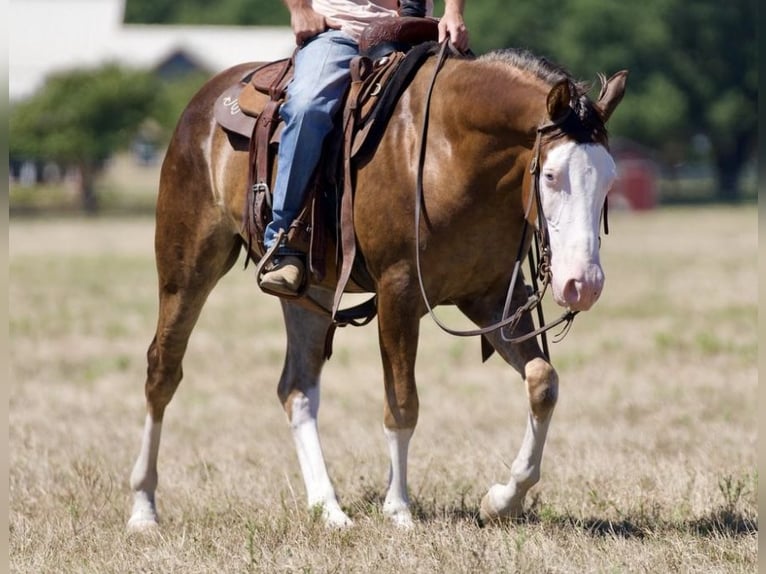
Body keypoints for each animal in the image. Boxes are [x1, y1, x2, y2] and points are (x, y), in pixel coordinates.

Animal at [127, 42, 632, 532]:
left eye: (610, 178)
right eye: (551, 175)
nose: (583, 285)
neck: (450, 152)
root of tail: (204, 101)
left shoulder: (488, 296)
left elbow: (543, 382)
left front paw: (501, 501)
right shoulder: (399, 294)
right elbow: (402, 404)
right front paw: (399, 510)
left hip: (308, 292)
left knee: (296, 388)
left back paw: (329, 510)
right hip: (187, 265)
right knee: (163, 370)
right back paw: (143, 509)